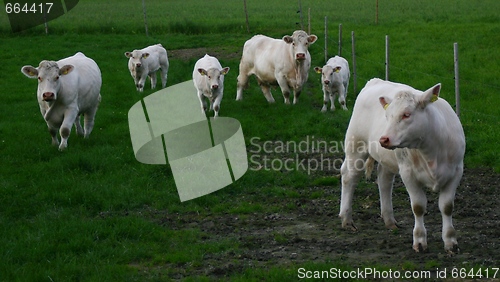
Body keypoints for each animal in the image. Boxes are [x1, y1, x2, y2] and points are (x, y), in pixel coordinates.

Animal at [340, 77, 464, 253]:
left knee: (384, 181)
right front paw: (420, 241)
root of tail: (375, 81)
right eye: (387, 116)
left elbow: (447, 206)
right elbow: (418, 206)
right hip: (355, 145)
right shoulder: (408, 173)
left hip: (386, 158)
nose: (383, 139)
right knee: (349, 177)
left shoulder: (456, 171)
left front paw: (450, 242)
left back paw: (389, 220)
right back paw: (346, 219)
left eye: (406, 114)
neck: (431, 150)